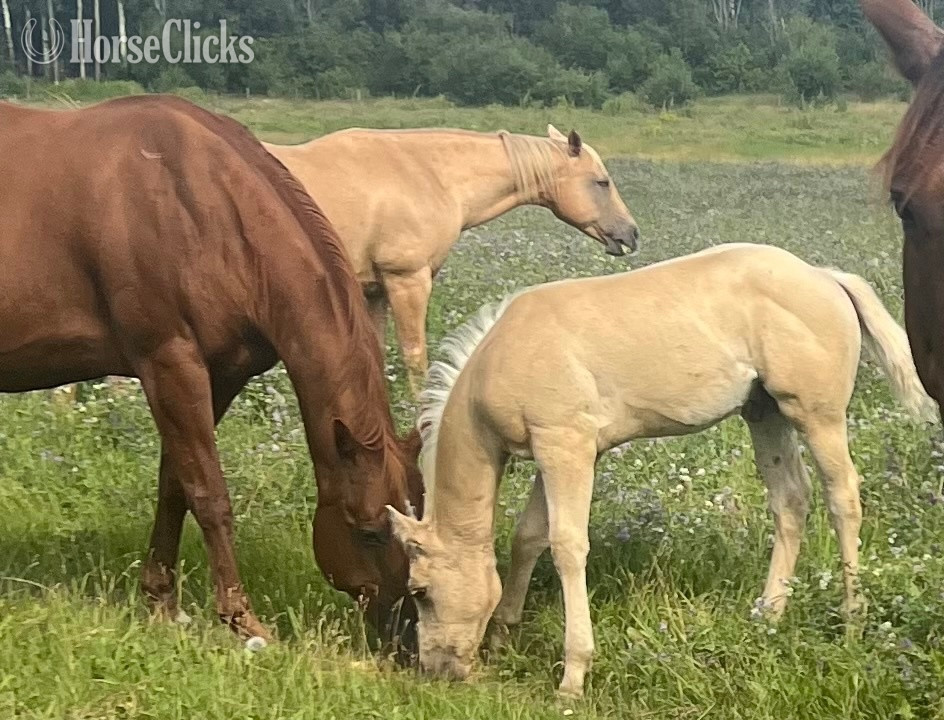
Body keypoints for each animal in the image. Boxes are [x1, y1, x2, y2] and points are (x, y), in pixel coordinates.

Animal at [0, 96, 423, 647]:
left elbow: (175, 486)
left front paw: (162, 601)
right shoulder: (169, 364)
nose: (408, 634)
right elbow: (210, 494)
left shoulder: (220, 375)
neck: (202, 207)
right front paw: (241, 620)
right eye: (369, 531)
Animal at [265, 125, 640, 396]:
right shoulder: (406, 281)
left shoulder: (374, 291)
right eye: (602, 182)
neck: (426, 175)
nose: (632, 234)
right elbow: (415, 354)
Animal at [387, 243, 935, 696]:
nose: (436, 671)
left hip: (815, 415)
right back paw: (769, 614)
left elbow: (567, 547)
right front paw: (504, 632)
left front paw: (573, 674)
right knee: (790, 501)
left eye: (419, 592)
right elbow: (529, 537)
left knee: (843, 498)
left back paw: (853, 620)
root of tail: (825, 277)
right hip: (765, 413)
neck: (504, 357)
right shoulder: (555, 451)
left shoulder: (566, 447)